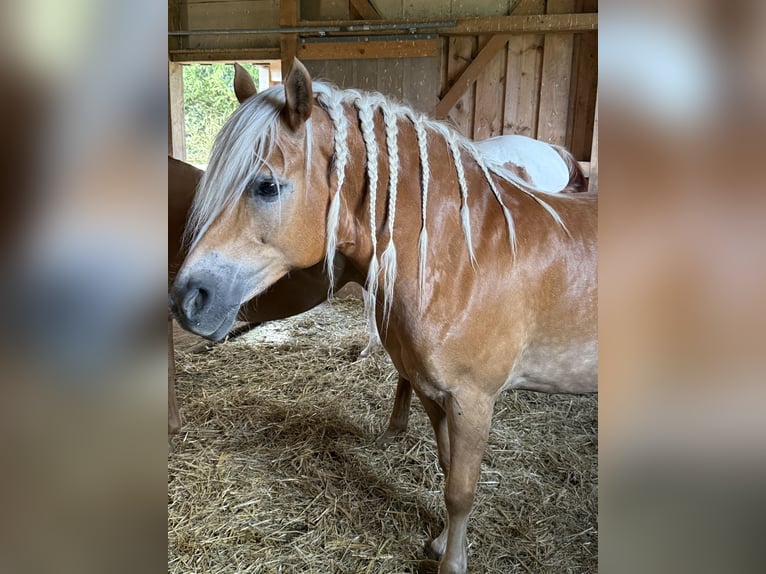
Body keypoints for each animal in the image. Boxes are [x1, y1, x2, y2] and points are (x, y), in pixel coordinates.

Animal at [169, 59, 597, 572]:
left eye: (266, 186)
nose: (187, 298)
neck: (465, 257)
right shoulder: (435, 394)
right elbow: (445, 464)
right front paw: (440, 541)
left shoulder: (474, 402)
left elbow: (461, 490)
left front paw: (452, 561)